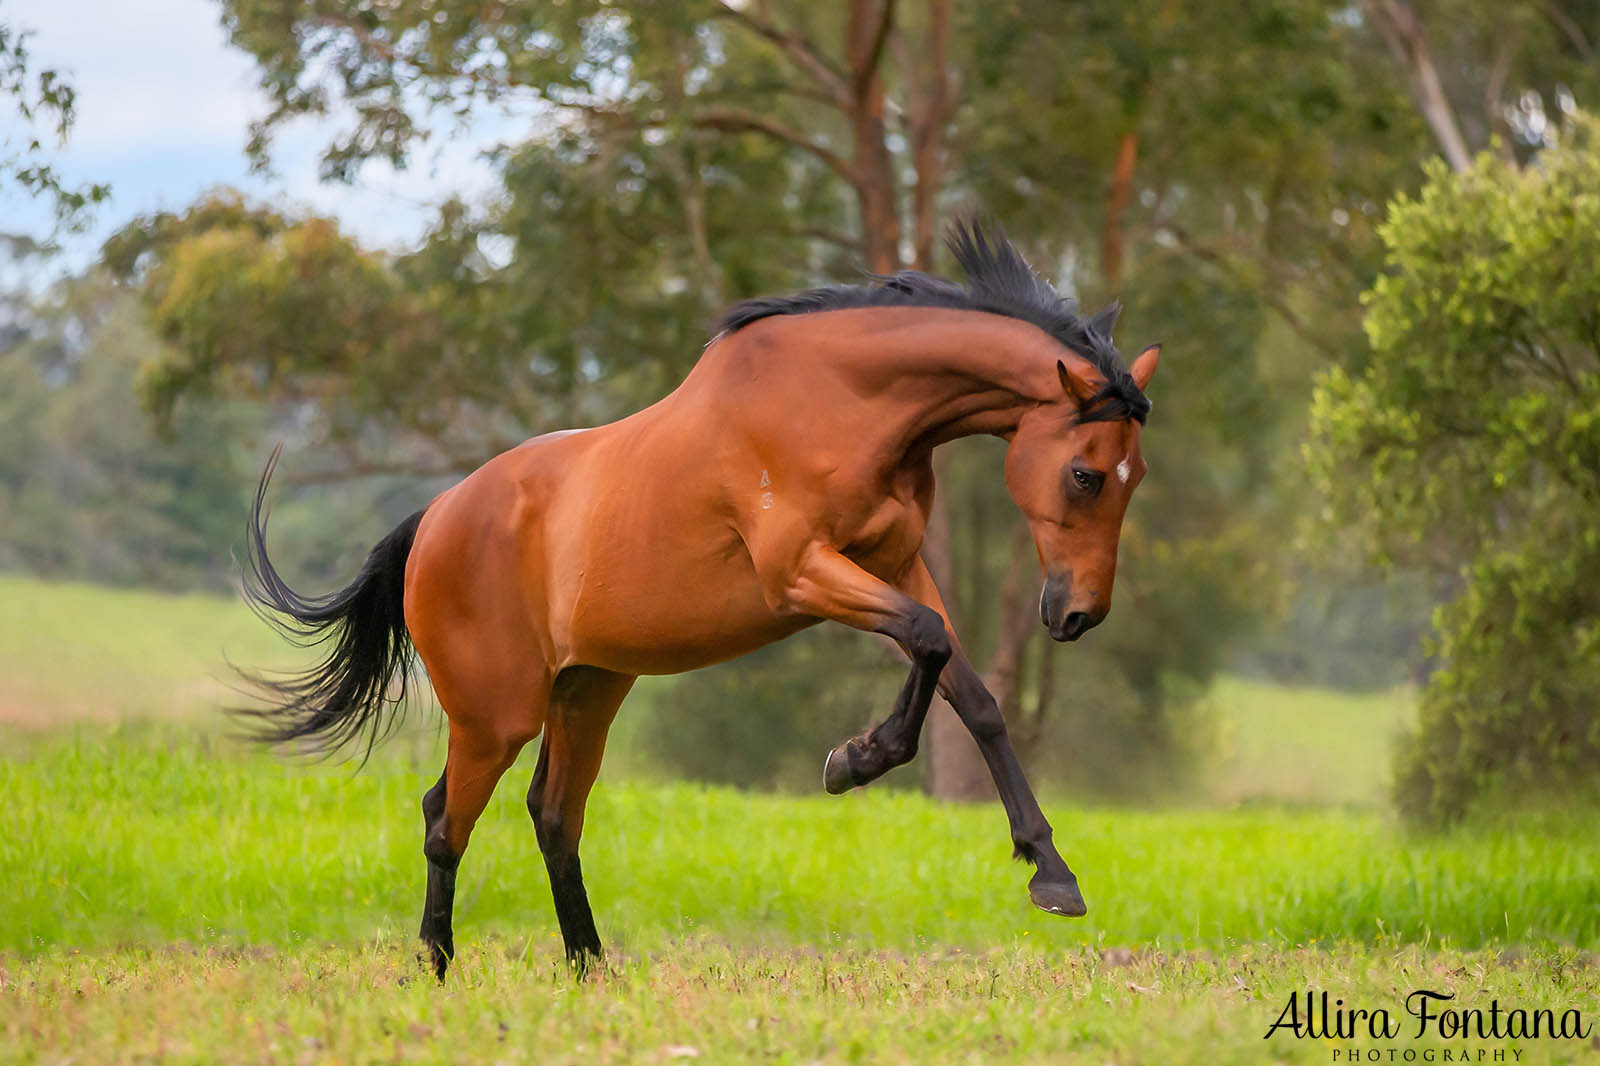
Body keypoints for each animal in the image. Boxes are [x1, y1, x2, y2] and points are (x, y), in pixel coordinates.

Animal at [243, 219, 1158, 973]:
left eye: (1135, 474)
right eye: (1085, 474)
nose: (1078, 613)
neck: (844, 400)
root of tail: (435, 518)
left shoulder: (895, 565)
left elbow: (973, 697)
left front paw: (1051, 872)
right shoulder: (803, 573)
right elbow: (930, 642)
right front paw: (852, 762)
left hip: (588, 691)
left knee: (554, 815)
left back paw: (590, 967)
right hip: (495, 715)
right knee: (446, 819)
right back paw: (437, 966)